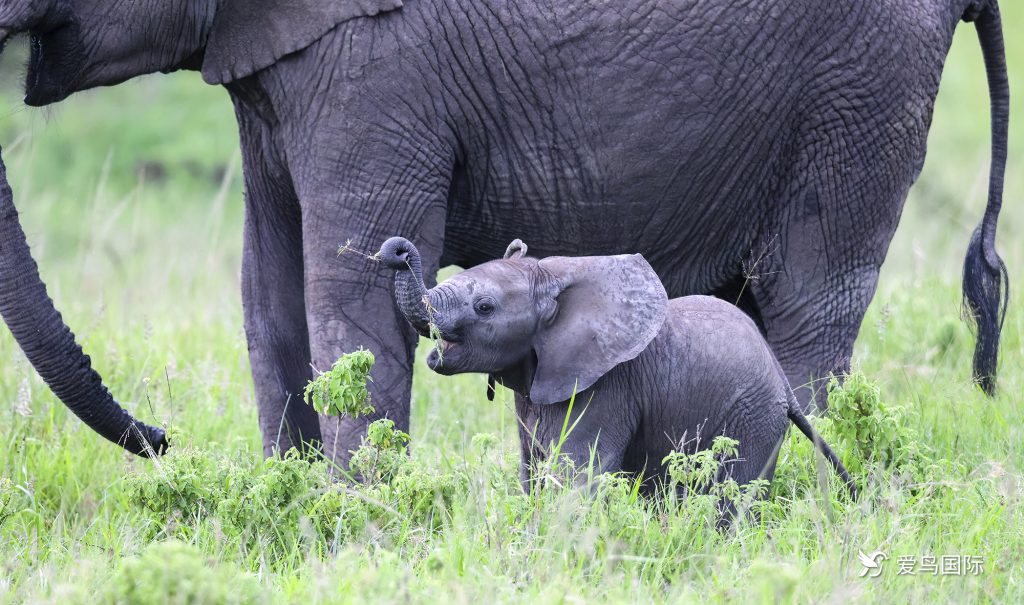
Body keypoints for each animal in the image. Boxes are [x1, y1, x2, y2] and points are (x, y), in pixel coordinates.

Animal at [0, 1, 1007, 464]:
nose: (162, 437)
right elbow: (269, 290)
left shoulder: (379, 62)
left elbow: (343, 291)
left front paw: (366, 527)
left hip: (859, 90)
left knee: (806, 301)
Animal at [380, 236, 851, 501]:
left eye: (484, 307)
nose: (395, 251)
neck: (555, 279)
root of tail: (783, 385)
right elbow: (532, 471)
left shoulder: (605, 388)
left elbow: (577, 474)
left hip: (752, 419)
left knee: (731, 497)